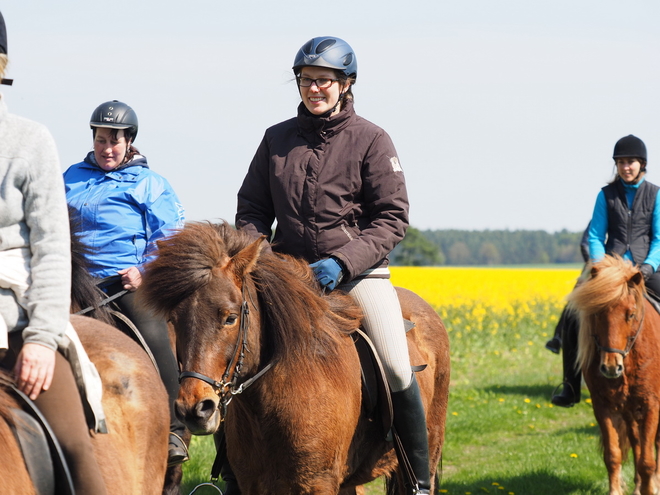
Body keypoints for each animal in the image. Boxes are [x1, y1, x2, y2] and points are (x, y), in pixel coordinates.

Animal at [568, 256, 660, 495]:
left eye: (631, 314)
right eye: (597, 313)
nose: (611, 367)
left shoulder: (652, 405)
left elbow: (648, 460)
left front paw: (651, 488)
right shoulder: (604, 407)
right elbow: (613, 456)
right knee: (637, 443)